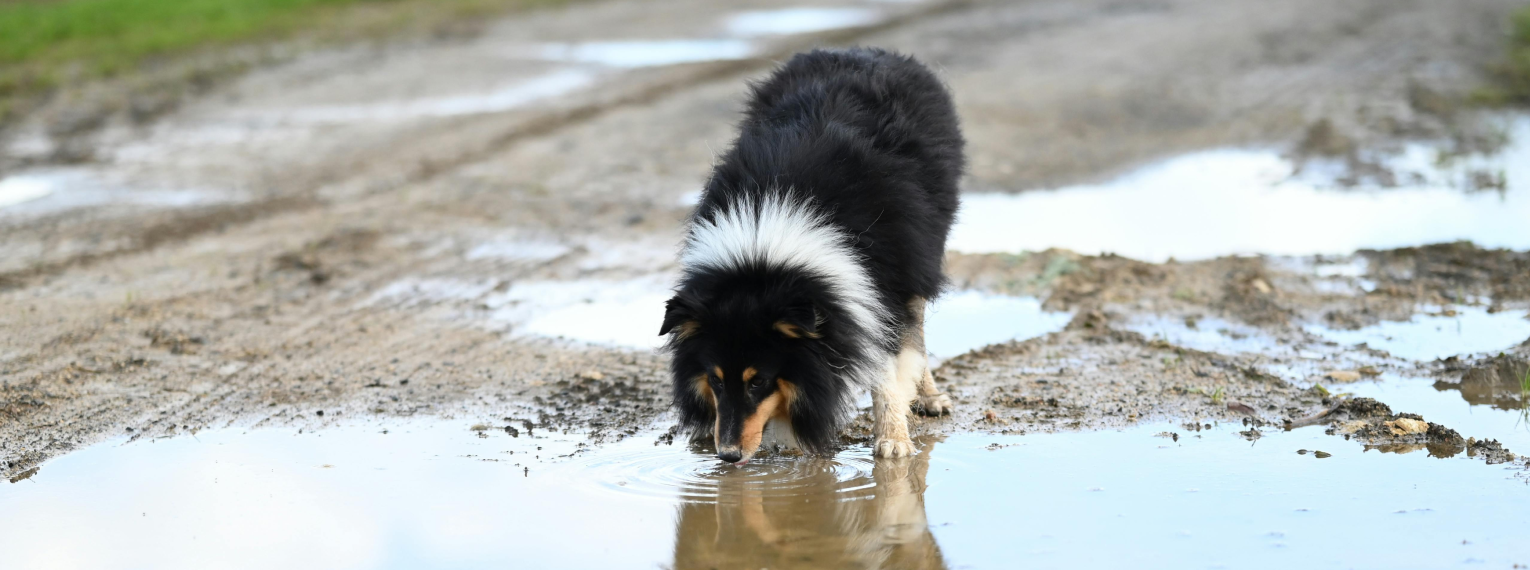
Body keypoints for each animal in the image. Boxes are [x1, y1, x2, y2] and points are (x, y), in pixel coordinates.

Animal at [660, 46, 966, 458]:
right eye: (716, 380)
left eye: (759, 382)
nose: (729, 455)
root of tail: (864, 50)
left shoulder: (883, 283)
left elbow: (888, 363)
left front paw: (893, 443)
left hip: (923, 253)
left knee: (916, 328)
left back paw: (930, 398)